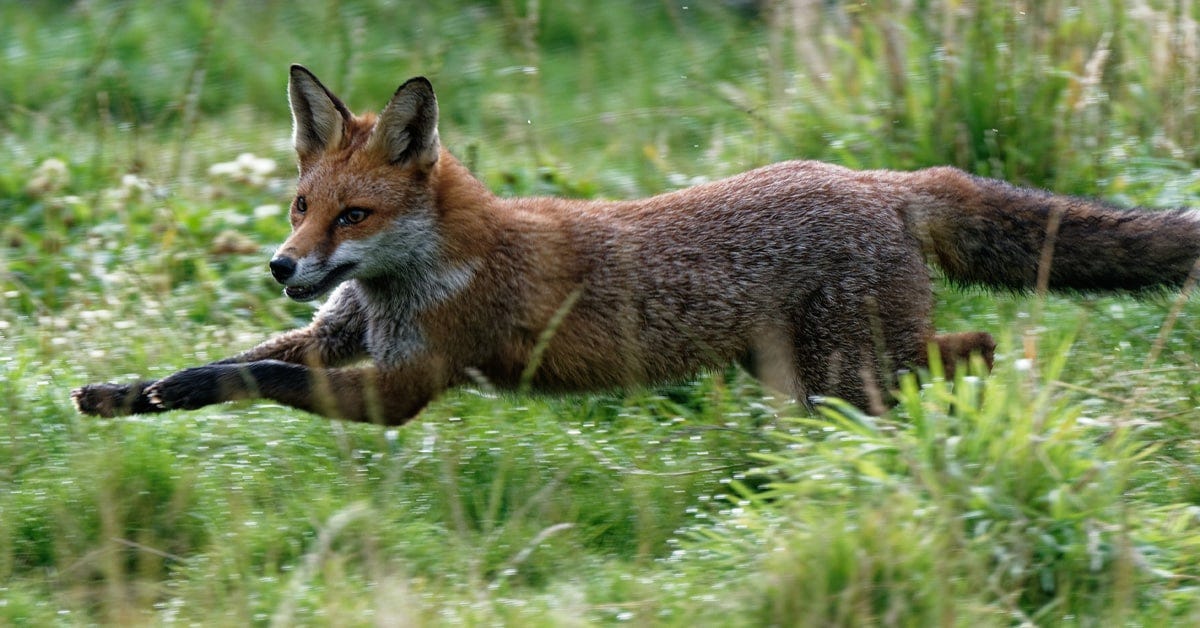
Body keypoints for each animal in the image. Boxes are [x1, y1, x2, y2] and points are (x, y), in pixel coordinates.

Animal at [75, 66, 1200, 425]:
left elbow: (253, 378)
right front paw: (128, 394)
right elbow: (226, 364)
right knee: (960, 354)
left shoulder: (405, 385)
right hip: (816, 372)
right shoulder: (337, 336)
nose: (282, 265)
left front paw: (160, 390)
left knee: (977, 351)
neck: (416, 278)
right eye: (302, 206)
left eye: (352, 217)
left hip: (849, 368)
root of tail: (880, 179)